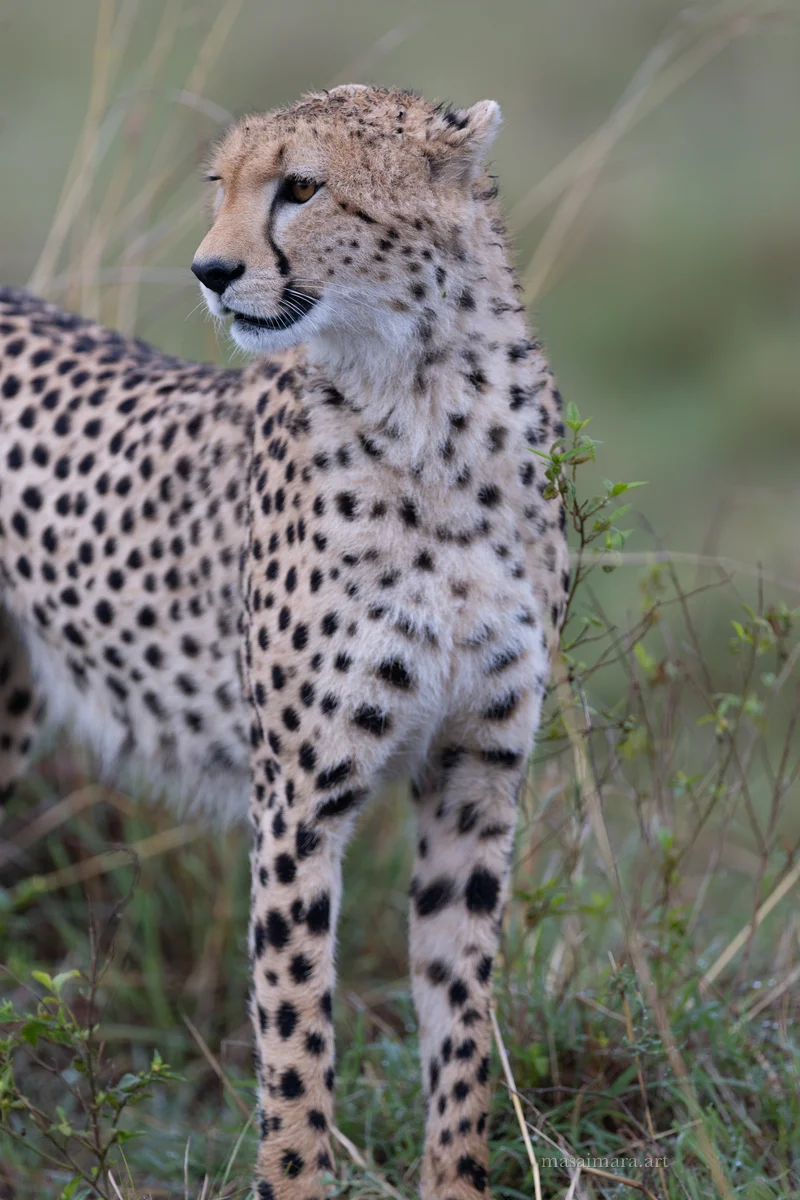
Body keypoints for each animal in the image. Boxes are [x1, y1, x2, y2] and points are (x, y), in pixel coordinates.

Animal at [0, 84, 569, 1199]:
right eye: (219, 185)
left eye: (301, 188)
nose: (210, 272)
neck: (430, 402)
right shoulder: (298, 804)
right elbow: (297, 1034)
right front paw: (296, 1176)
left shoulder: (474, 775)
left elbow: (460, 1016)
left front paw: (454, 1178)